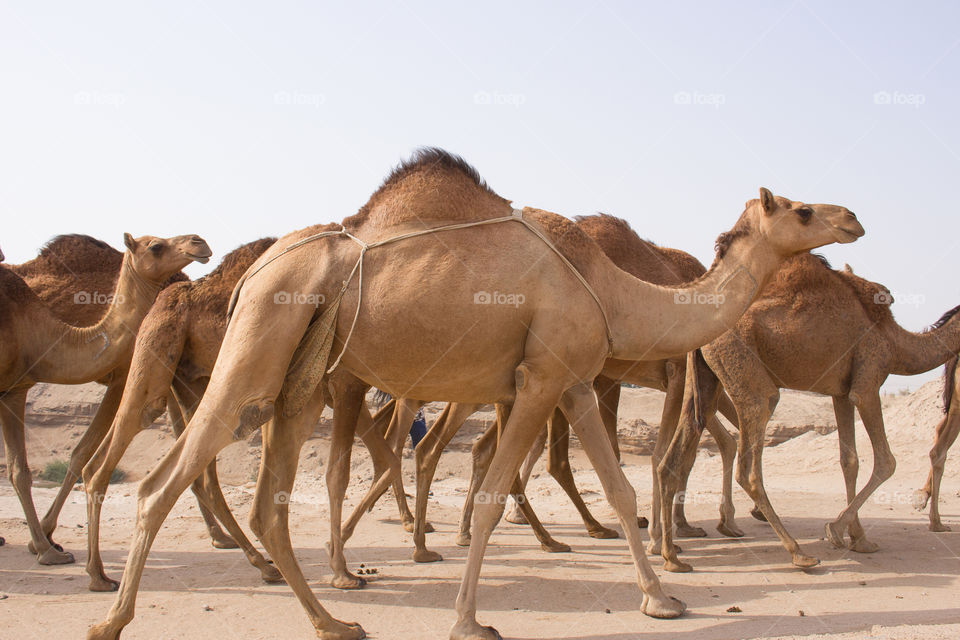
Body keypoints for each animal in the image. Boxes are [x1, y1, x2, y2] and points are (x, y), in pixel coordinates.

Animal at [86, 150, 860, 640]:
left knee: (265, 501)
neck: (610, 287)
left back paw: (334, 620)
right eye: (800, 210)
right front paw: (469, 620)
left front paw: (661, 598)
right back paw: (111, 618)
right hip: (257, 342)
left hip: (301, 377)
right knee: (161, 481)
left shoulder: (574, 383)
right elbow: (489, 496)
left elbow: (620, 491)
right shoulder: (540, 380)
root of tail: (250, 274)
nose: (852, 218)